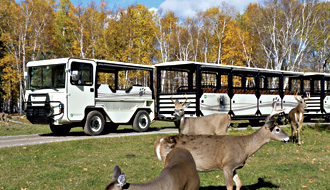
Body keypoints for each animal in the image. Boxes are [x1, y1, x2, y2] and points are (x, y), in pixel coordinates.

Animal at [155, 102, 288, 190]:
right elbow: (229, 187)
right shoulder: (227, 165)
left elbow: (239, 183)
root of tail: (160, 140)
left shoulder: (234, 167)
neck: (245, 147)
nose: (289, 138)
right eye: (277, 129)